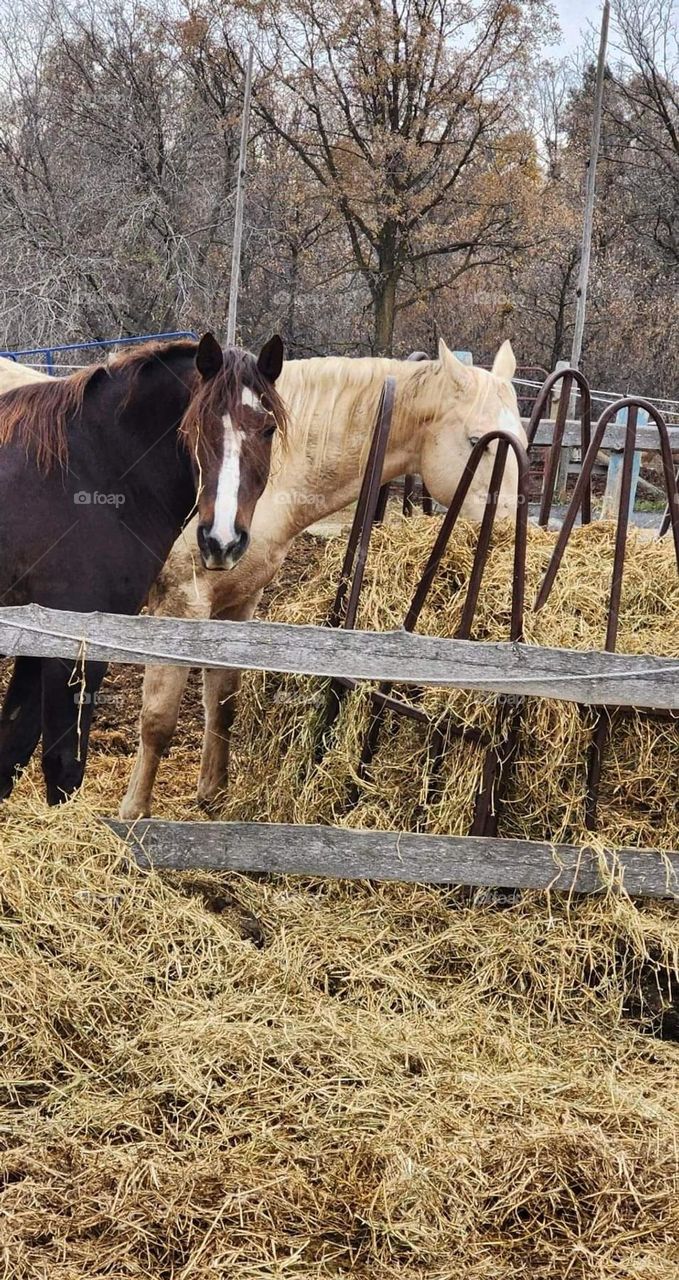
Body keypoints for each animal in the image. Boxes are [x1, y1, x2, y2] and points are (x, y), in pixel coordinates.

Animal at [0, 332, 285, 803]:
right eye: (195, 427)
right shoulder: (75, 647)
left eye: (267, 429)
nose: (221, 541)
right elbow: (62, 767)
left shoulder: (37, 637)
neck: (89, 474)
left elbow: (12, 749)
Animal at [119, 337, 524, 820]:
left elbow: (223, 704)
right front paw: (134, 813)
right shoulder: (180, 605)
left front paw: (213, 794)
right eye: (477, 442)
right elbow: (158, 720)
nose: (508, 530)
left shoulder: (237, 603)